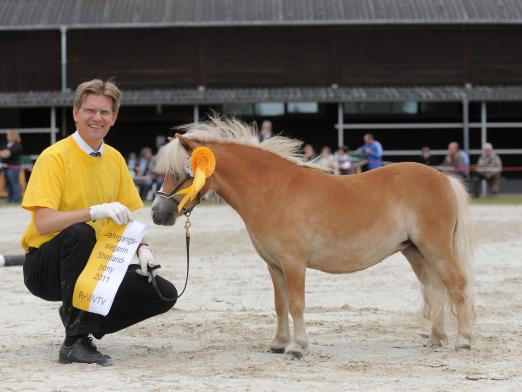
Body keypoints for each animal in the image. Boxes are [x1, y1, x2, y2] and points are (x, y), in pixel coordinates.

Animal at [150, 118, 472, 360]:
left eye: (181, 172)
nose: (157, 213)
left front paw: (297, 348)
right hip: (415, 252)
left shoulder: (294, 264)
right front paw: (278, 343)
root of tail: (444, 178)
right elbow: (280, 304)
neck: (272, 191)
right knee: (434, 290)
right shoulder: (274, 265)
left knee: (456, 286)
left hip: (436, 249)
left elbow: (296, 304)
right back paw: (436, 339)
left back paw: (463, 341)